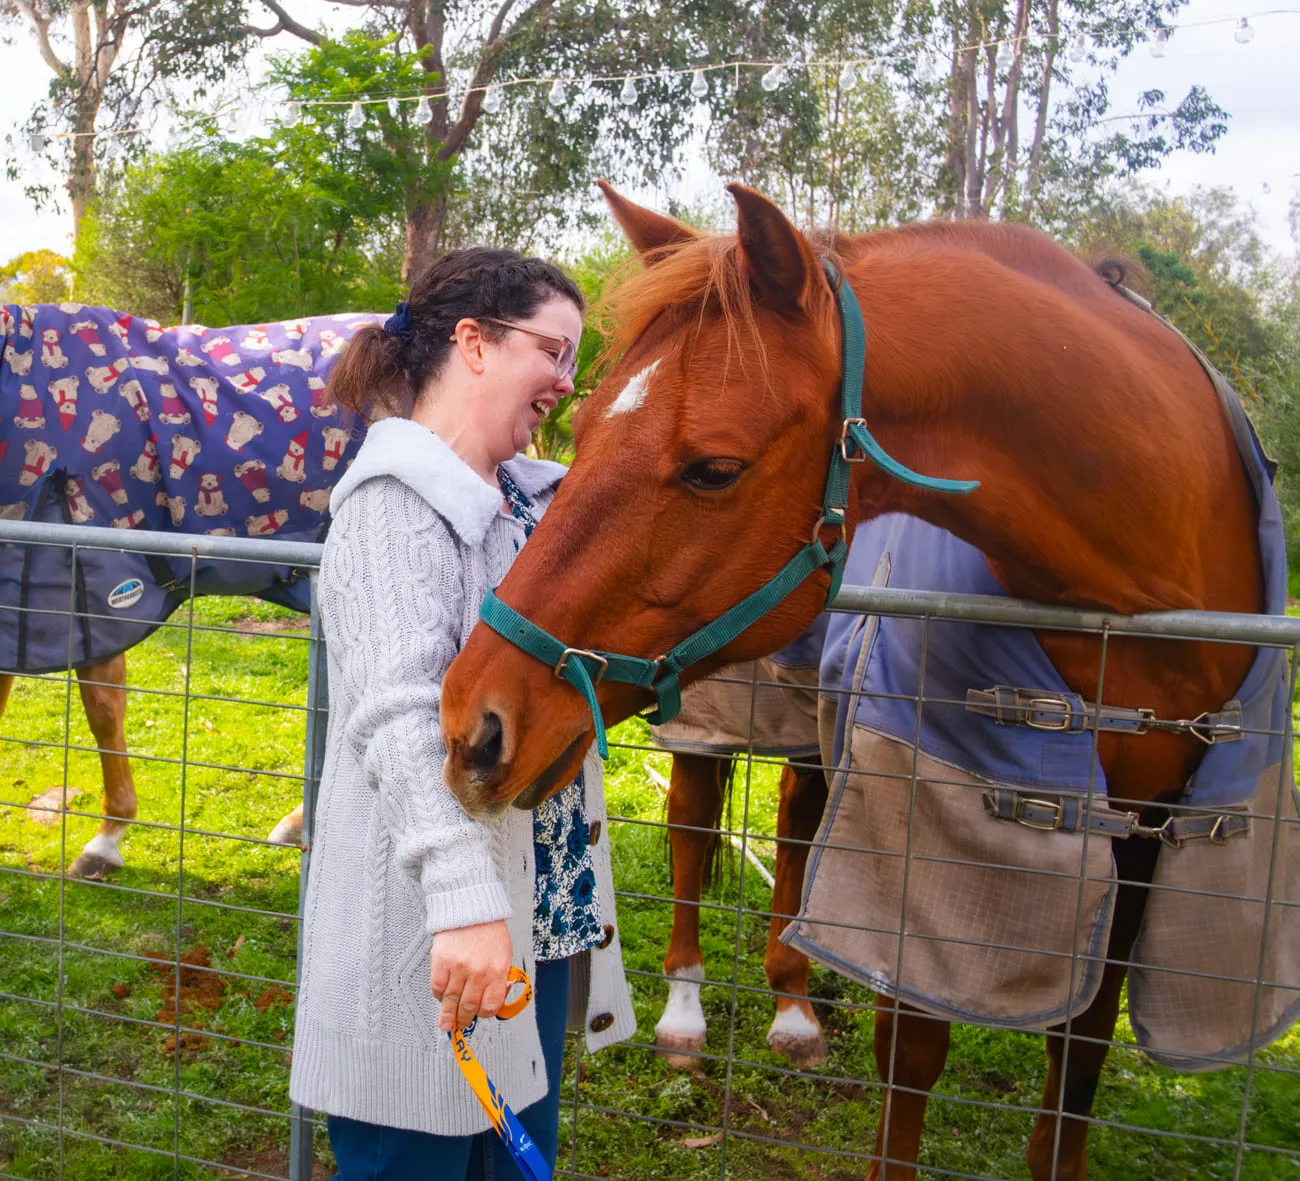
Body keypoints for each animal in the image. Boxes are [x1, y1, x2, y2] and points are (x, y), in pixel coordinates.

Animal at [437, 183, 1298, 1179]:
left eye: (715, 468)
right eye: (579, 426)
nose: (473, 724)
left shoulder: (1150, 833)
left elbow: (1079, 1047)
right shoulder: (930, 838)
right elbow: (913, 1051)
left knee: (795, 822)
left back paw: (797, 1007)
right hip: (715, 716)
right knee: (695, 821)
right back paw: (689, 1014)